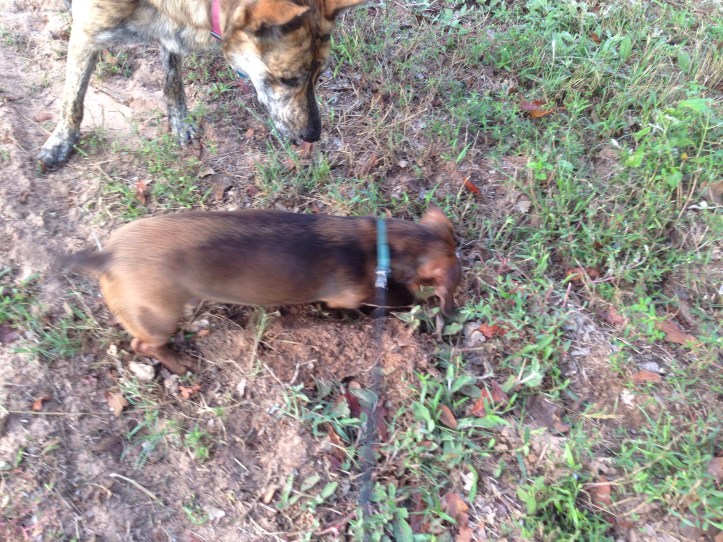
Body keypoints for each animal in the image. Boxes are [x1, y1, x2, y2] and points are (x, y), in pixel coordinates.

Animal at [38, 0, 366, 168]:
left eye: (319, 76)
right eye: (287, 79)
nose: (313, 135)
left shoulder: (169, 30)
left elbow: (173, 82)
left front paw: (180, 123)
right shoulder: (85, 34)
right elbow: (73, 101)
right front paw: (61, 142)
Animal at [68, 207, 462, 375]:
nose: (449, 314)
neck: (380, 244)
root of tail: (105, 257)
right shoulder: (350, 294)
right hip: (157, 316)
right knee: (143, 344)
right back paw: (181, 365)